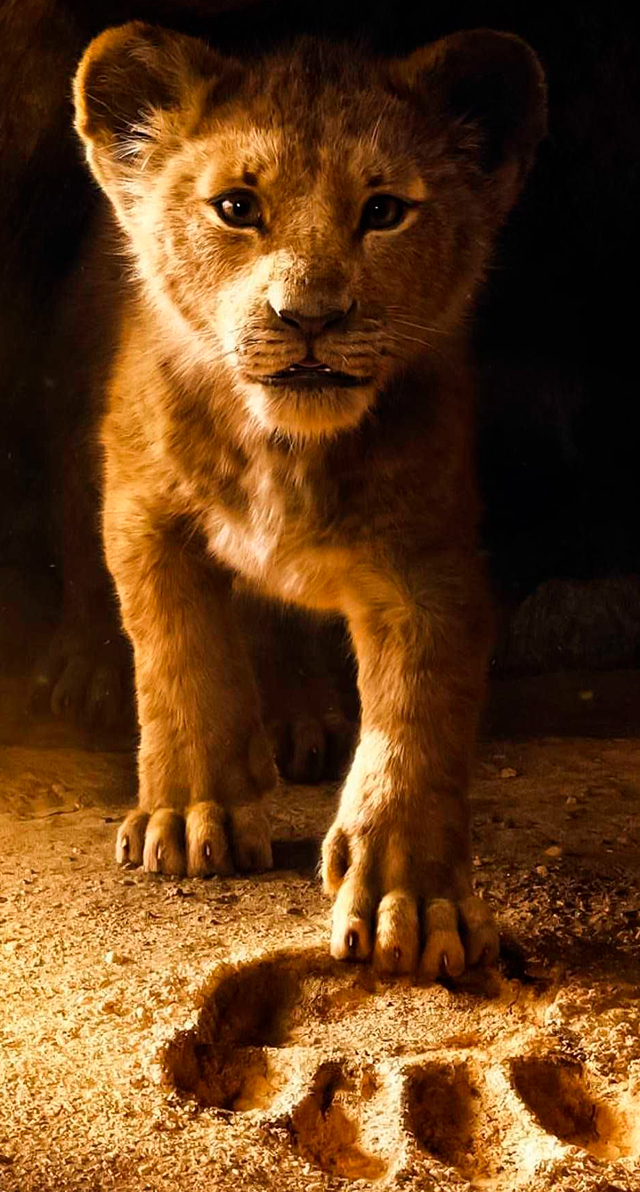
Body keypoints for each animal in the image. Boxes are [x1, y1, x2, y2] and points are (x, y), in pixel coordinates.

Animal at [70, 22, 546, 976]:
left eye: (384, 211)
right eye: (236, 207)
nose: (310, 317)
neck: (285, 448)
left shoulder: (429, 560)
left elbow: (417, 721)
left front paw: (414, 899)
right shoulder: (142, 509)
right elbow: (181, 659)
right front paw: (192, 814)